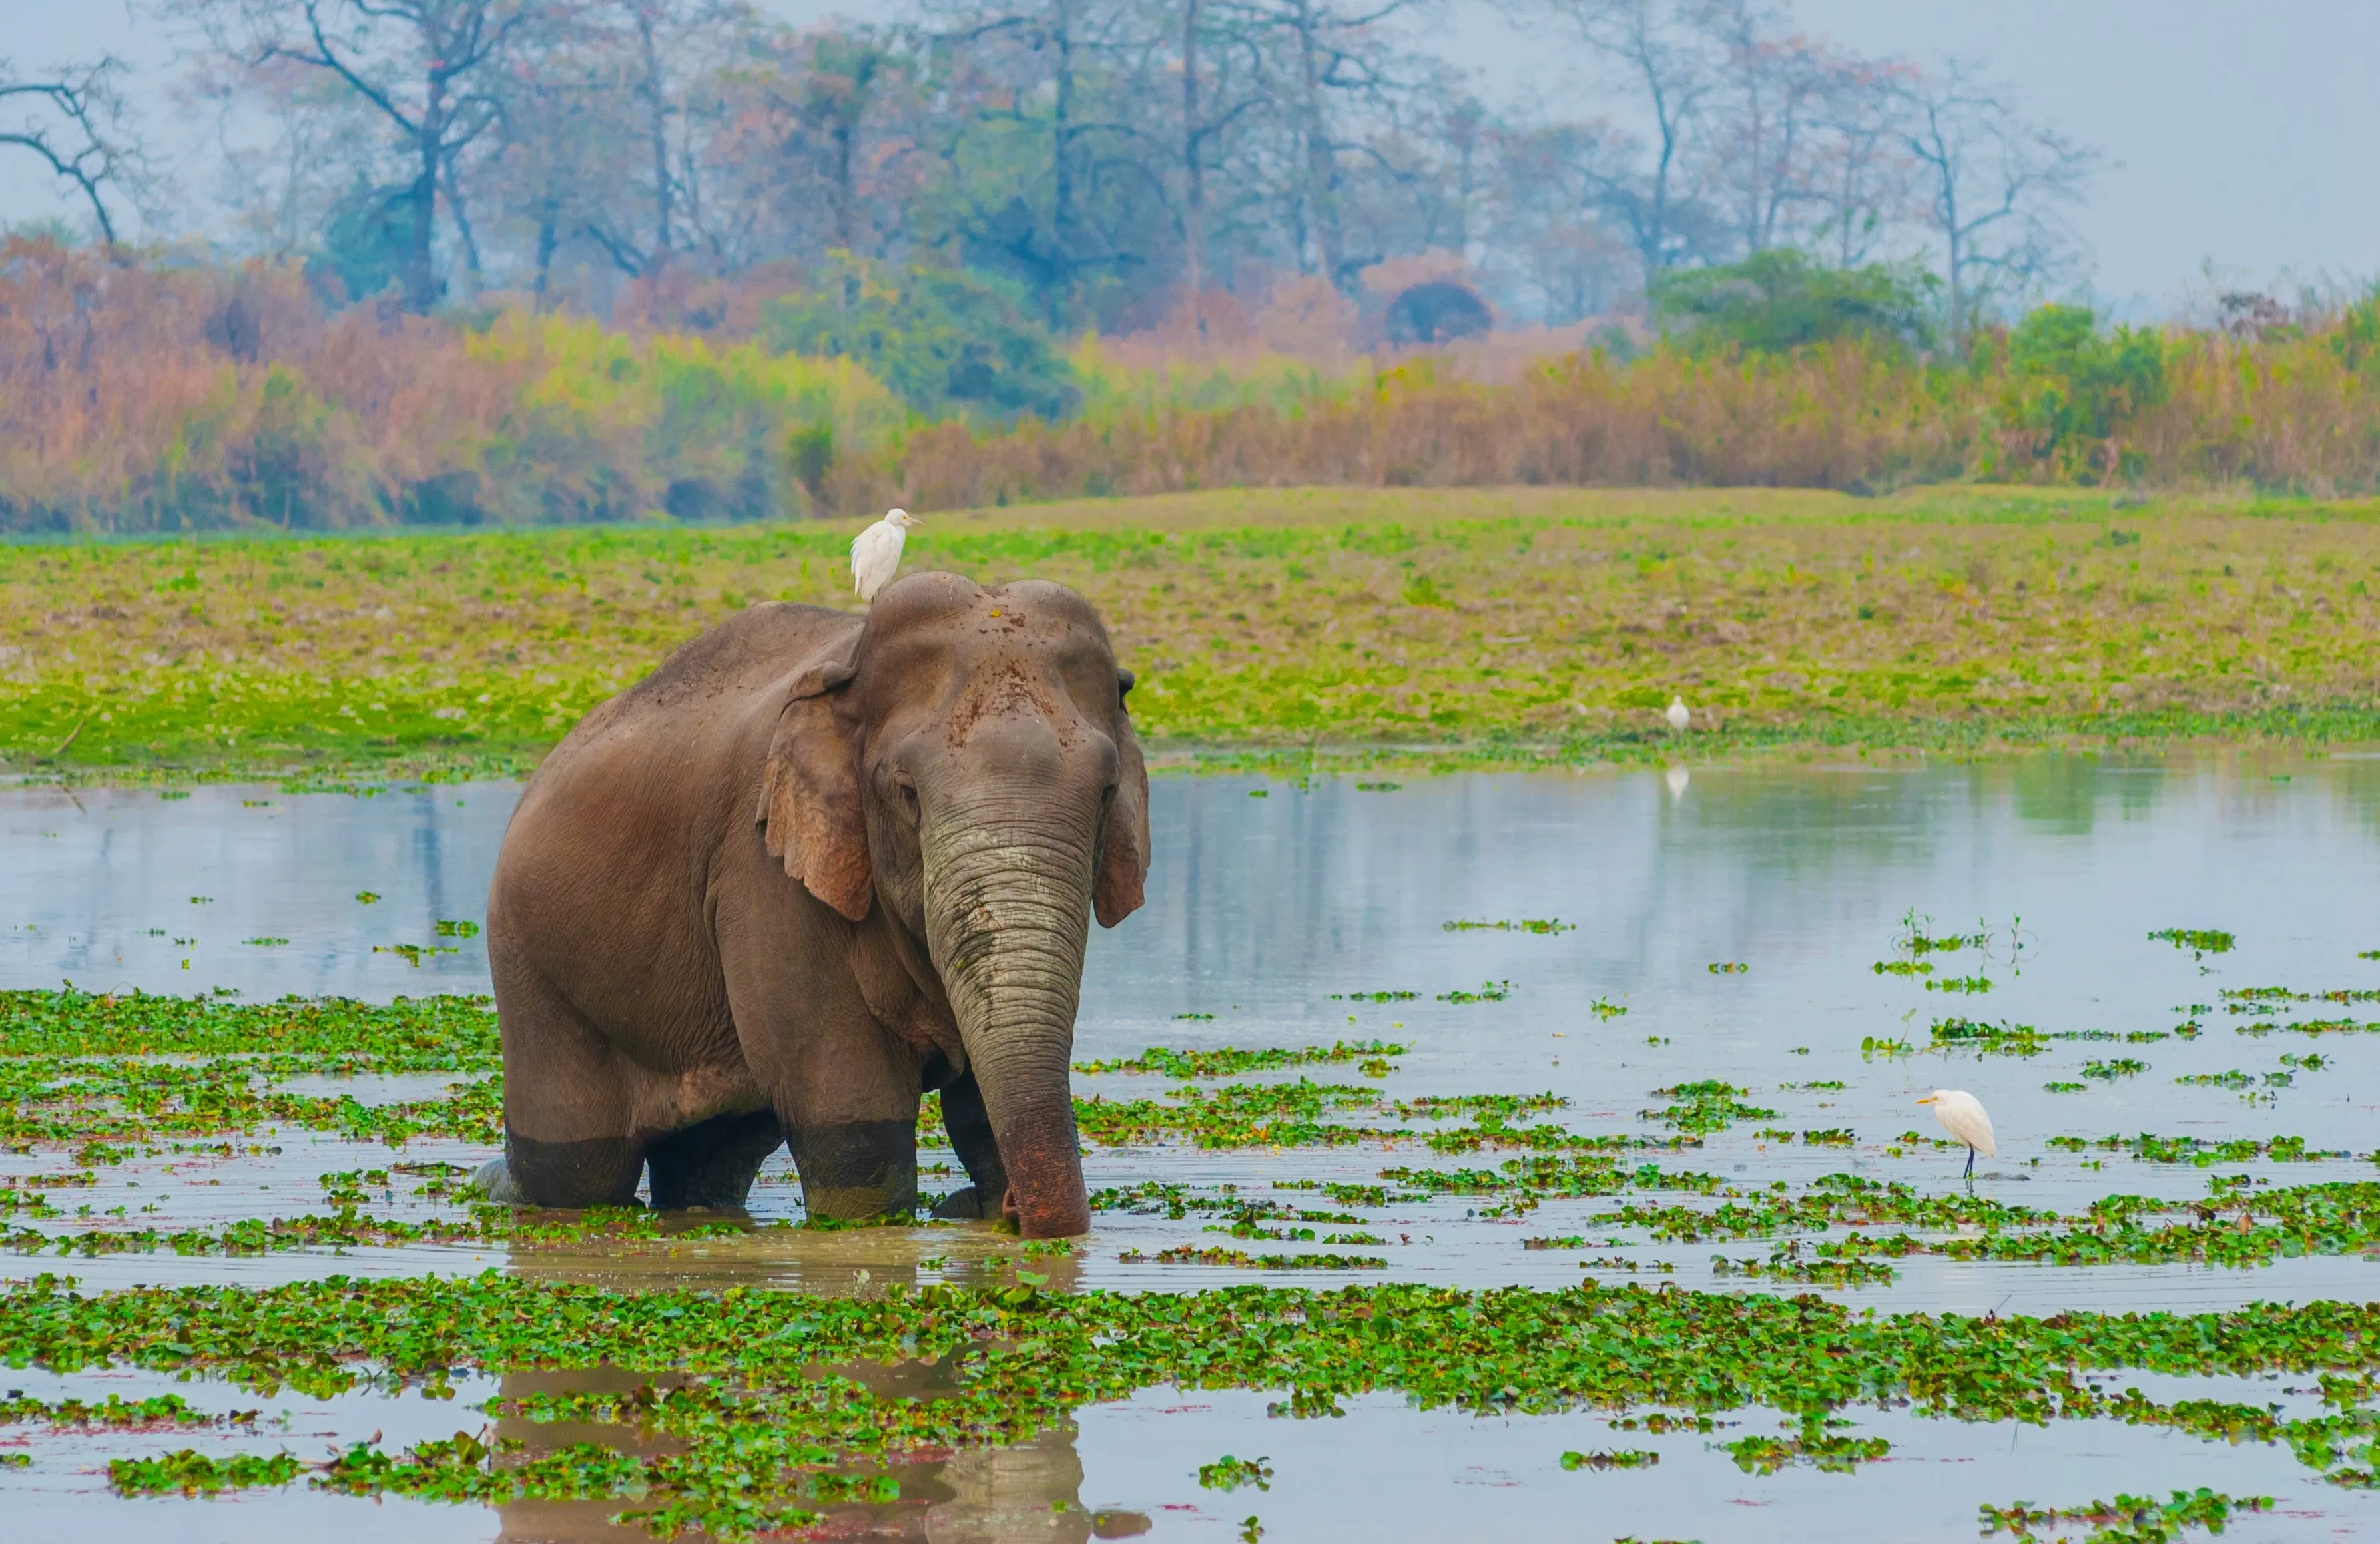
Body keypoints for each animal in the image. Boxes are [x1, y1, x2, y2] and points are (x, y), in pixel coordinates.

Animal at [471, 571, 1149, 1238]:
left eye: (1107, 790)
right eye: (907, 793)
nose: (1000, 1209)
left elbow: (978, 1113)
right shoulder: (763, 871)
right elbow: (852, 1115)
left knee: (708, 1159)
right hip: (534, 970)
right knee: (577, 1171)